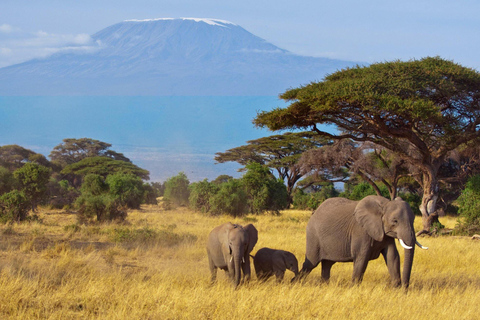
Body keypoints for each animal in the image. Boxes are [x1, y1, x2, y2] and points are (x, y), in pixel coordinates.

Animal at [294, 195, 430, 288]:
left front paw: (396, 290)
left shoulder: (385, 234)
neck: (384, 204)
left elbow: (393, 257)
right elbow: (362, 258)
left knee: (327, 265)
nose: (405, 288)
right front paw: (353, 289)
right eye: (395, 221)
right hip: (313, 236)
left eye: (413, 220)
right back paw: (294, 283)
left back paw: (324, 286)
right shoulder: (360, 231)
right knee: (310, 264)